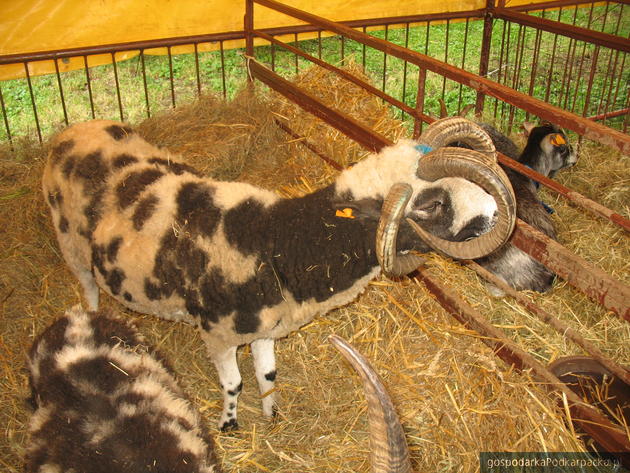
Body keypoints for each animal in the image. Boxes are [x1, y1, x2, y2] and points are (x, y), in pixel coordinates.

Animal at [40, 117, 520, 428]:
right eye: (432, 204)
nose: (497, 214)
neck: (279, 241)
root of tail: (71, 131)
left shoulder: (266, 330)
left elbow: (266, 377)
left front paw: (272, 416)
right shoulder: (217, 334)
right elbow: (233, 384)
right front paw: (229, 424)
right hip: (70, 244)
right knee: (89, 287)